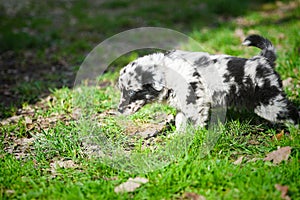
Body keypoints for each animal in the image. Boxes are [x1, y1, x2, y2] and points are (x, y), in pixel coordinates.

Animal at [116, 34, 298, 129]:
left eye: (132, 92)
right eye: (121, 91)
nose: (118, 111)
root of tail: (263, 60)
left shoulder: (196, 103)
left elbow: (195, 122)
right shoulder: (183, 105)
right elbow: (180, 122)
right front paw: (177, 138)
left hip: (270, 103)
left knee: (293, 114)